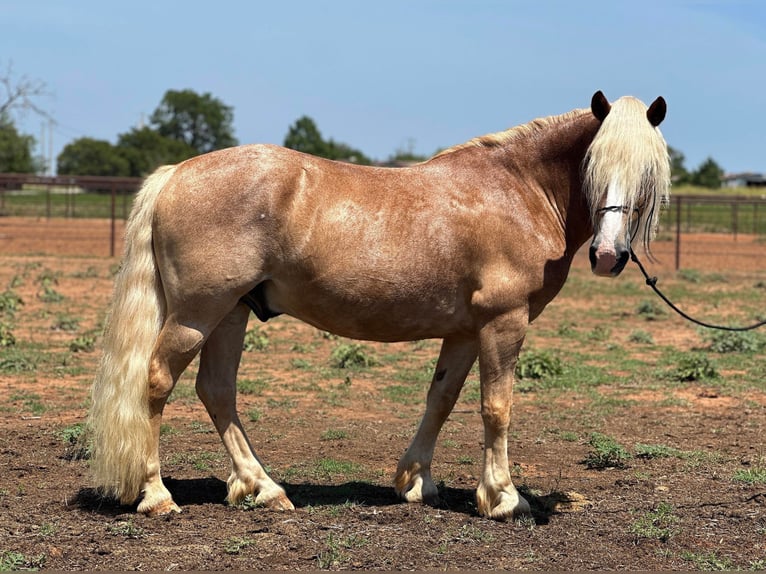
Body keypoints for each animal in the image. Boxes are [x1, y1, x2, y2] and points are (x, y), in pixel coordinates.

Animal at [90, 91, 672, 520]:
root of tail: (176, 173)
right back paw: (157, 495)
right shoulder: (502, 323)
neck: (517, 190)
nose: (608, 255)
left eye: (646, 177)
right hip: (196, 315)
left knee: (217, 391)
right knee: (157, 383)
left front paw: (415, 482)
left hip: (231, 313)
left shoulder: (465, 330)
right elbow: (496, 408)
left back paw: (263, 487)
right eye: (593, 165)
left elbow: (441, 400)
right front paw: (503, 497)